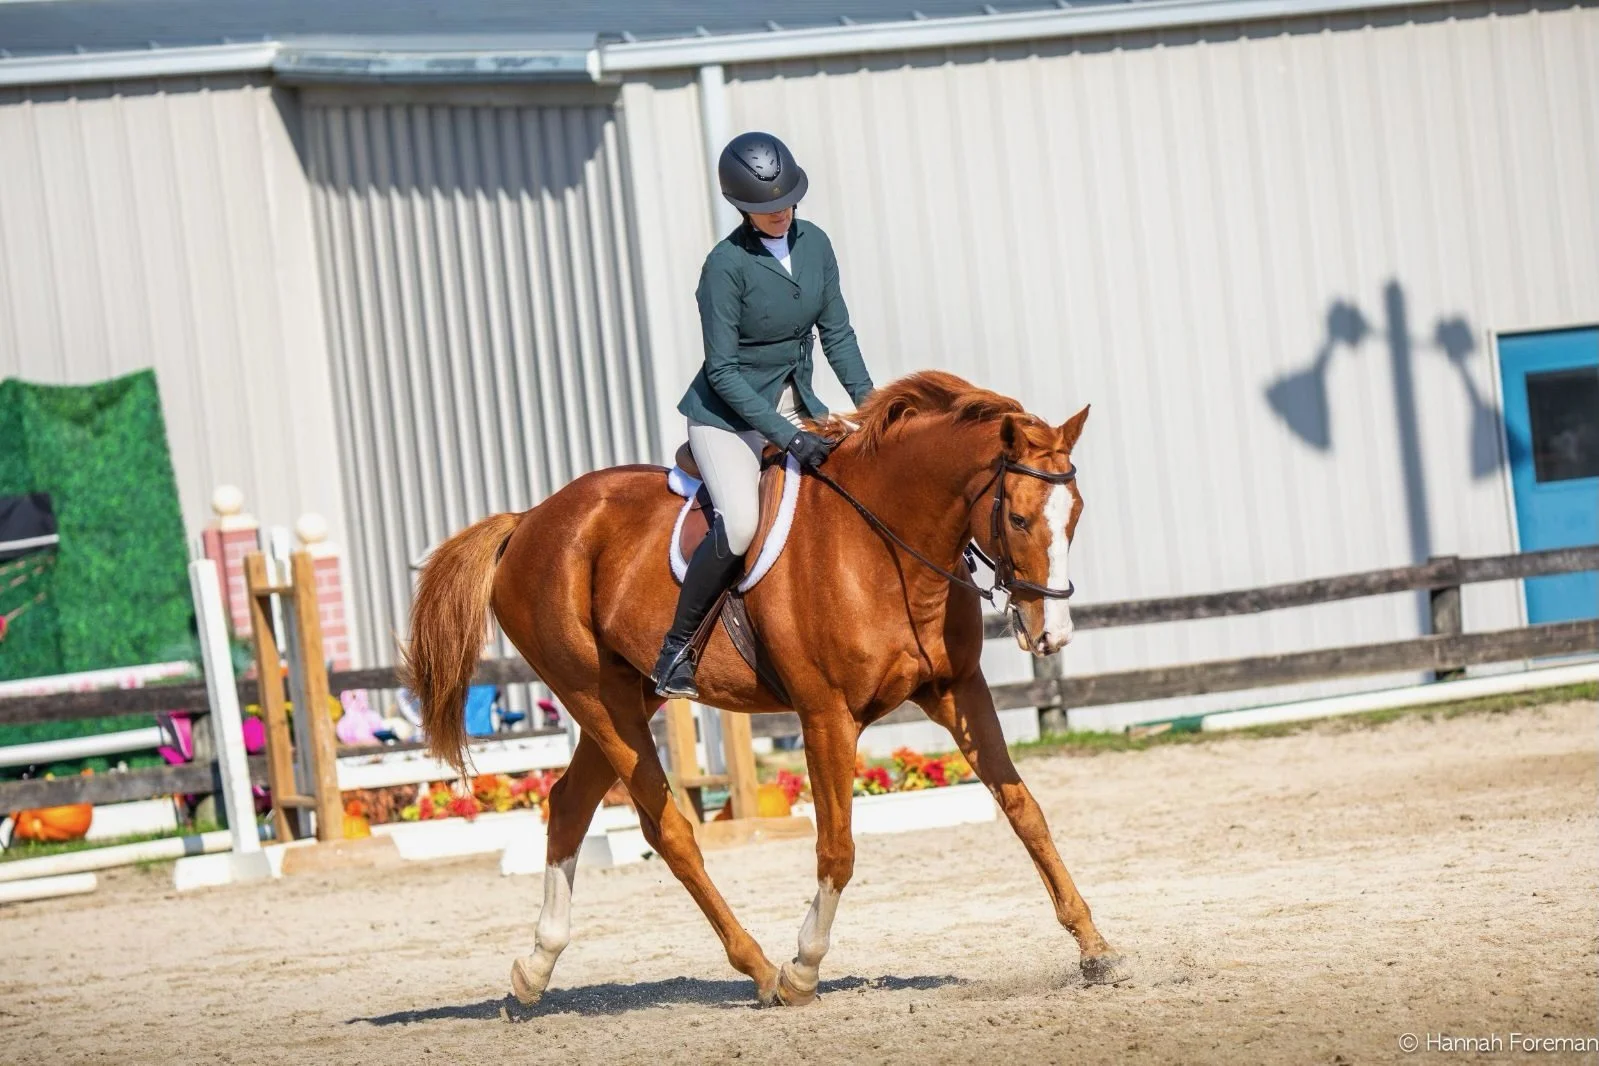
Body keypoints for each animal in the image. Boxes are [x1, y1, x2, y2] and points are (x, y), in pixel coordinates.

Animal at [405, 370, 1127, 1007]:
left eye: (1075, 514)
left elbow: (1025, 811)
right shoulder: (826, 715)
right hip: (596, 698)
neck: (887, 545)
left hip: (629, 695)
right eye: (1019, 518)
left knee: (568, 805)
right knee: (667, 829)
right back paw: (759, 970)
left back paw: (534, 970)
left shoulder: (957, 690)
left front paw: (1095, 949)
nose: (1052, 635)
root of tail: (528, 519)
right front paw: (804, 968)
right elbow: (837, 848)